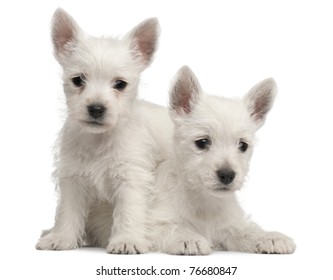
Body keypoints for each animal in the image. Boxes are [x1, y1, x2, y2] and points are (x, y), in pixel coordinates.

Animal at [35, 8, 169, 254]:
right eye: (78, 80)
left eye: (120, 84)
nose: (96, 109)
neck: (98, 140)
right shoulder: (73, 178)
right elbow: (68, 211)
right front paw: (61, 237)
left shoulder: (131, 178)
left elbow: (128, 211)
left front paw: (127, 240)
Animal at [151, 66, 296, 256]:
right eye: (202, 142)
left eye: (243, 145)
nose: (227, 175)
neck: (203, 201)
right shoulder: (150, 225)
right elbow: (171, 227)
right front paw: (188, 238)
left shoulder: (229, 225)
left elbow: (246, 231)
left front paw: (269, 237)